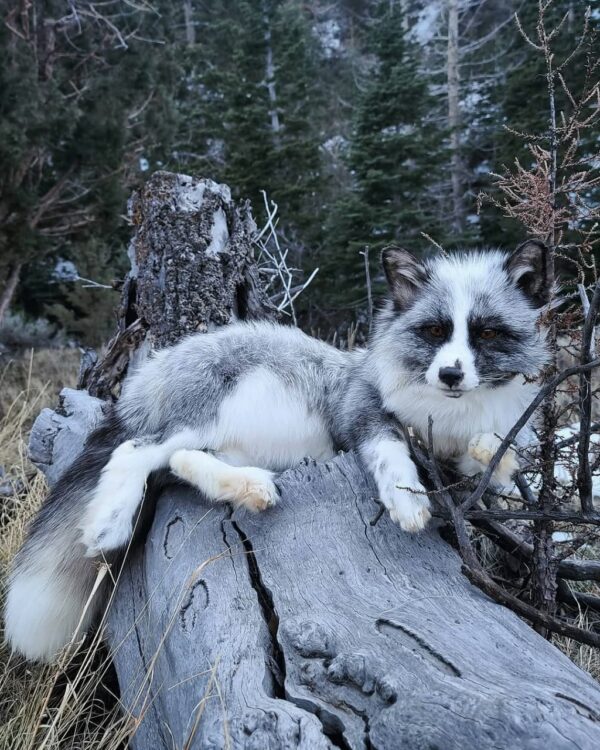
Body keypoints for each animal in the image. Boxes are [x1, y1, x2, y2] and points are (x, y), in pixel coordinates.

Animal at [4, 241, 550, 662]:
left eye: (486, 333)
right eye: (435, 330)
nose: (451, 375)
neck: (446, 416)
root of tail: (154, 369)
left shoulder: (461, 456)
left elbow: (491, 452)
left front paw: (499, 456)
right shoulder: (362, 406)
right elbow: (389, 446)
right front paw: (407, 500)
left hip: (222, 441)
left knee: (178, 463)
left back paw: (249, 487)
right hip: (206, 412)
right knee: (135, 451)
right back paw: (109, 525)